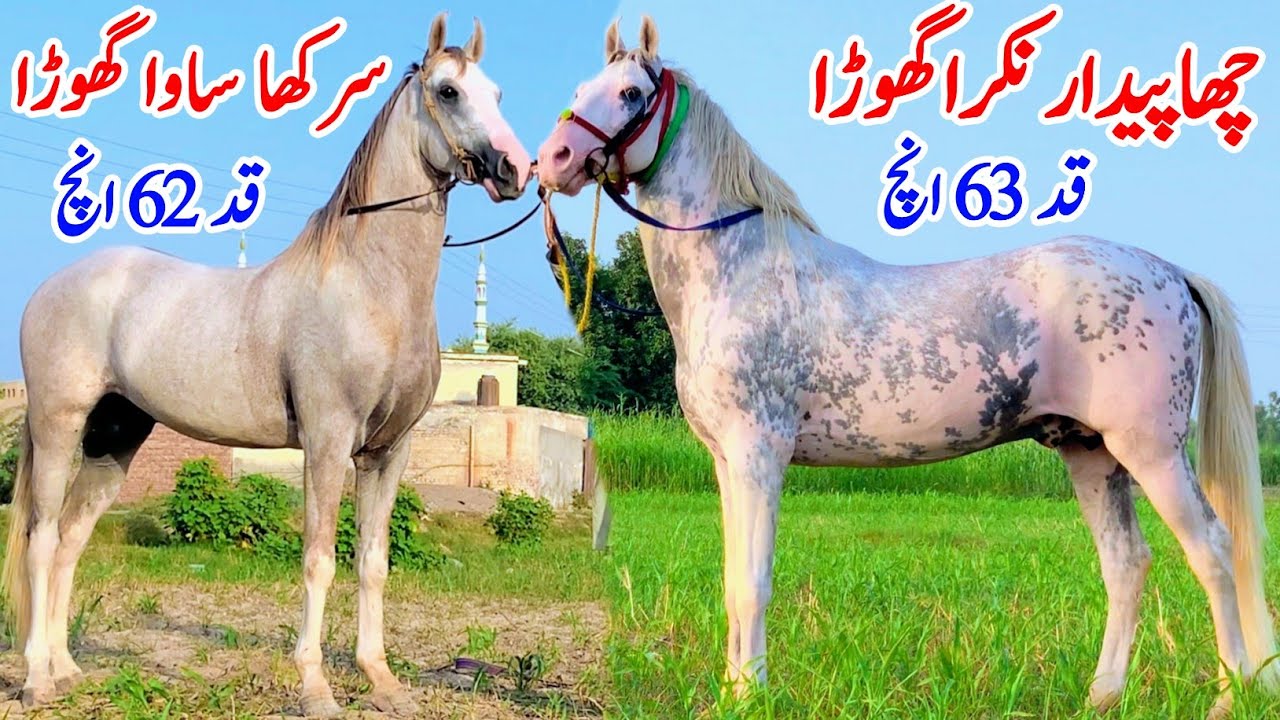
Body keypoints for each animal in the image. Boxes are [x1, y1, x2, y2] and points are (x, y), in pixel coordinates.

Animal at [2, 13, 531, 717]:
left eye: (497, 93)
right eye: (448, 91)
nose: (516, 167)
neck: (369, 286)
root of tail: (50, 286)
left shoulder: (389, 452)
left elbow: (372, 563)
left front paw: (382, 681)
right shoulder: (328, 444)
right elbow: (318, 560)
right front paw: (315, 686)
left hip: (114, 440)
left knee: (68, 542)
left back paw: (67, 671)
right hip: (59, 426)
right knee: (39, 539)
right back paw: (36, 679)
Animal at [536, 16, 1276, 718]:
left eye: (630, 94)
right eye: (581, 89)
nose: (554, 159)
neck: (740, 270)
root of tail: (1171, 271)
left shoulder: (758, 453)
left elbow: (753, 583)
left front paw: (751, 697)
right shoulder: (725, 459)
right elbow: (731, 579)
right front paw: (732, 690)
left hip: (1150, 451)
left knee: (1214, 550)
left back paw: (1229, 694)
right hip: (1090, 453)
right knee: (1127, 564)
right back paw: (1102, 697)